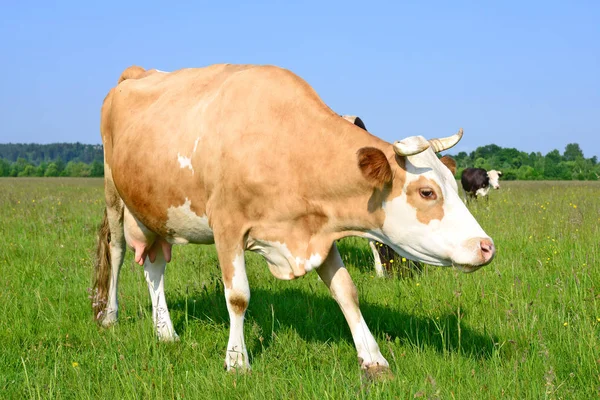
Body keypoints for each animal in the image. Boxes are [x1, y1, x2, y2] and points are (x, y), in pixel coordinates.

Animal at [94, 65, 494, 376]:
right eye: (427, 192)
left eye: (451, 184)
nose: (486, 247)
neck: (284, 145)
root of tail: (137, 72)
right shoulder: (227, 226)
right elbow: (238, 296)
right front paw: (237, 361)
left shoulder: (320, 230)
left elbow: (346, 291)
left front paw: (373, 359)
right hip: (115, 195)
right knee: (117, 252)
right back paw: (110, 316)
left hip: (154, 211)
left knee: (154, 266)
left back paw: (165, 332)